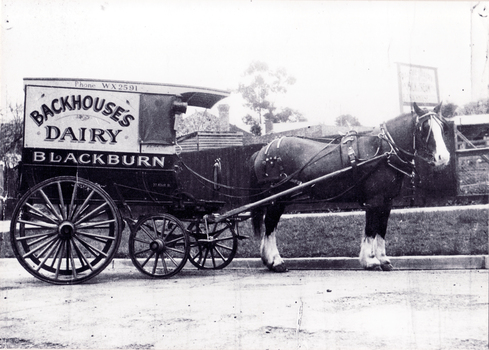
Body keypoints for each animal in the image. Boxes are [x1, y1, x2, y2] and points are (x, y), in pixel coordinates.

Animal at [250, 102, 448, 272]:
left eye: (442, 126)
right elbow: (371, 228)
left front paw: (384, 260)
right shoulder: (374, 200)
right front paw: (370, 260)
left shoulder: (387, 202)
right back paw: (276, 262)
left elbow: (381, 229)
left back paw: (269, 261)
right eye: (424, 127)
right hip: (277, 199)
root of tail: (262, 151)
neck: (383, 150)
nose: (443, 158)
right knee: (270, 225)